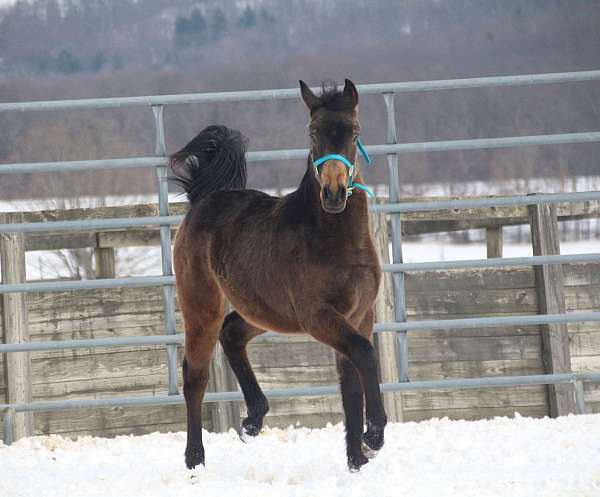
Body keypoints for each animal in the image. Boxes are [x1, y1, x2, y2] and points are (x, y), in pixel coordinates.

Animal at [169, 79, 386, 470]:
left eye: (354, 131)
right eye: (313, 132)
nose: (333, 193)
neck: (335, 239)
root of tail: (200, 201)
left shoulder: (360, 315)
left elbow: (350, 384)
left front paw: (357, 461)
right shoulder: (318, 316)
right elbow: (364, 355)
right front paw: (374, 436)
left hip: (265, 311)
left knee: (232, 333)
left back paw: (253, 419)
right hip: (202, 305)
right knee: (195, 374)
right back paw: (195, 460)